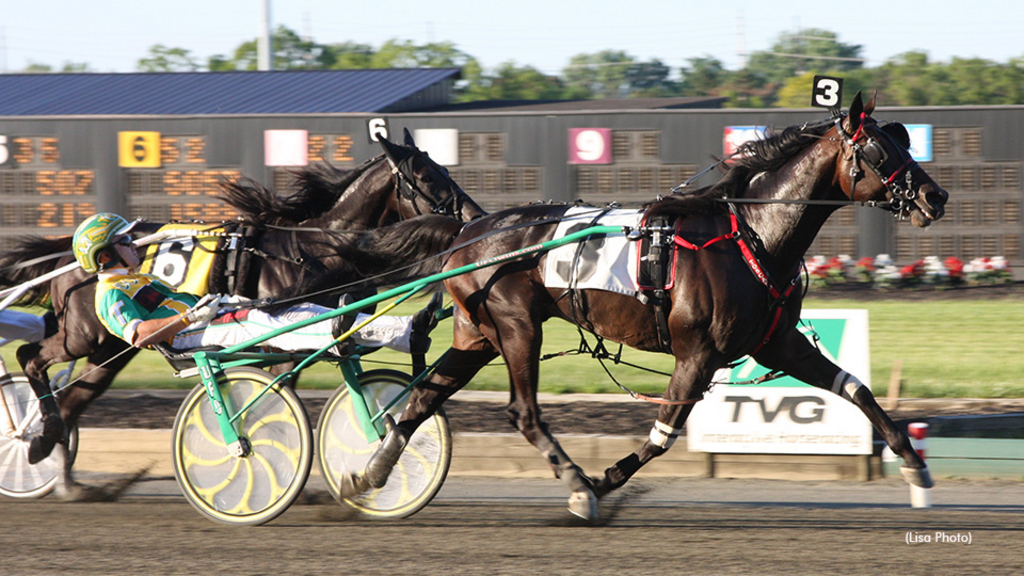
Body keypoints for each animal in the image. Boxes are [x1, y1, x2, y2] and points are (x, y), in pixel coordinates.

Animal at [0, 129, 485, 494]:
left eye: (444, 169)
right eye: (426, 176)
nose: (474, 213)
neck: (313, 248)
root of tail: (69, 253)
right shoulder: (274, 341)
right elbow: (270, 397)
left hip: (107, 352)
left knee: (74, 398)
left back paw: (59, 466)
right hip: (85, 333)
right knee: (31, 357)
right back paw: (33, 436)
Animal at [354, 91, 950, 518]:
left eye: (905, 141)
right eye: (880, 150)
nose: (935, 196)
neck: (752, 235)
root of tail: (468, 228)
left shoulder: (778, 344)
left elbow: (857, 389)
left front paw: (914, 467)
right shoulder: (699, 353)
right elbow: (664, 433)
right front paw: (600, 483)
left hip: (477, 334)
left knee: (424, 397)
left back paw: (371, 473)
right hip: (517, 326)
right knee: (523, 411)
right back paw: (575, 482)